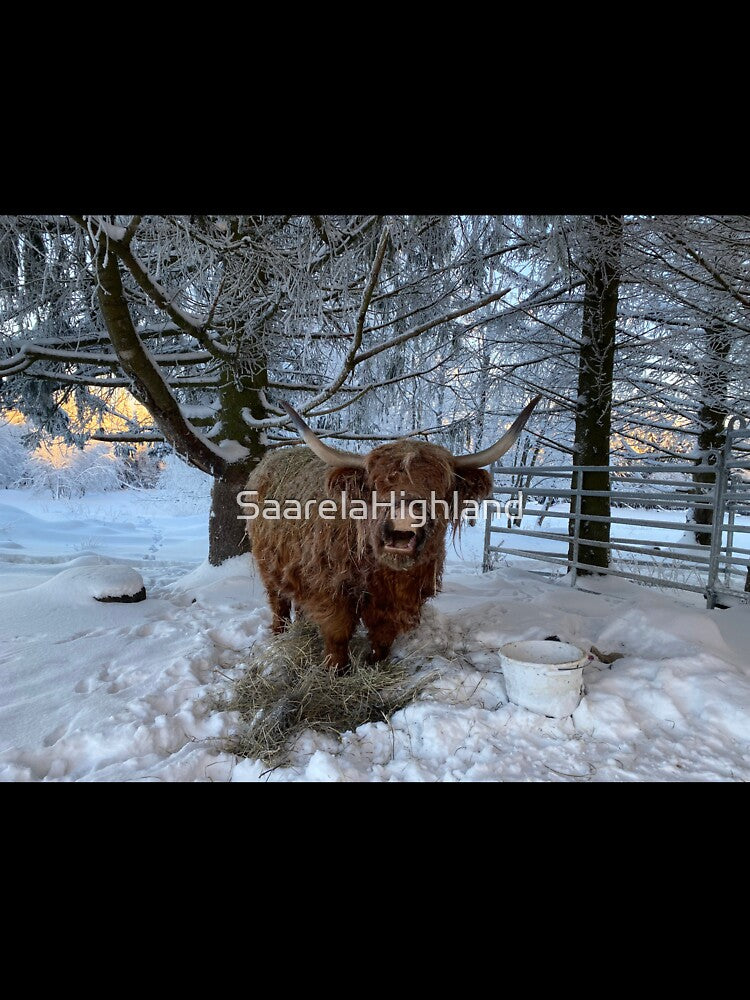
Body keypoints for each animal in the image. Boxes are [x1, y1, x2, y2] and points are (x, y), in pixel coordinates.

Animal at [243, 397, 541, 671]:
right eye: (376, 485)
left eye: (441, 489)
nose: (406, 514)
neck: (385, 572)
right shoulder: (333, 592)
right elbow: (338, 634)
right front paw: (335, 669)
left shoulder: (398, 600)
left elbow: (383, 637)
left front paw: (375, 664)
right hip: (269, 566)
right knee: (279, 603)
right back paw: (279, 636)